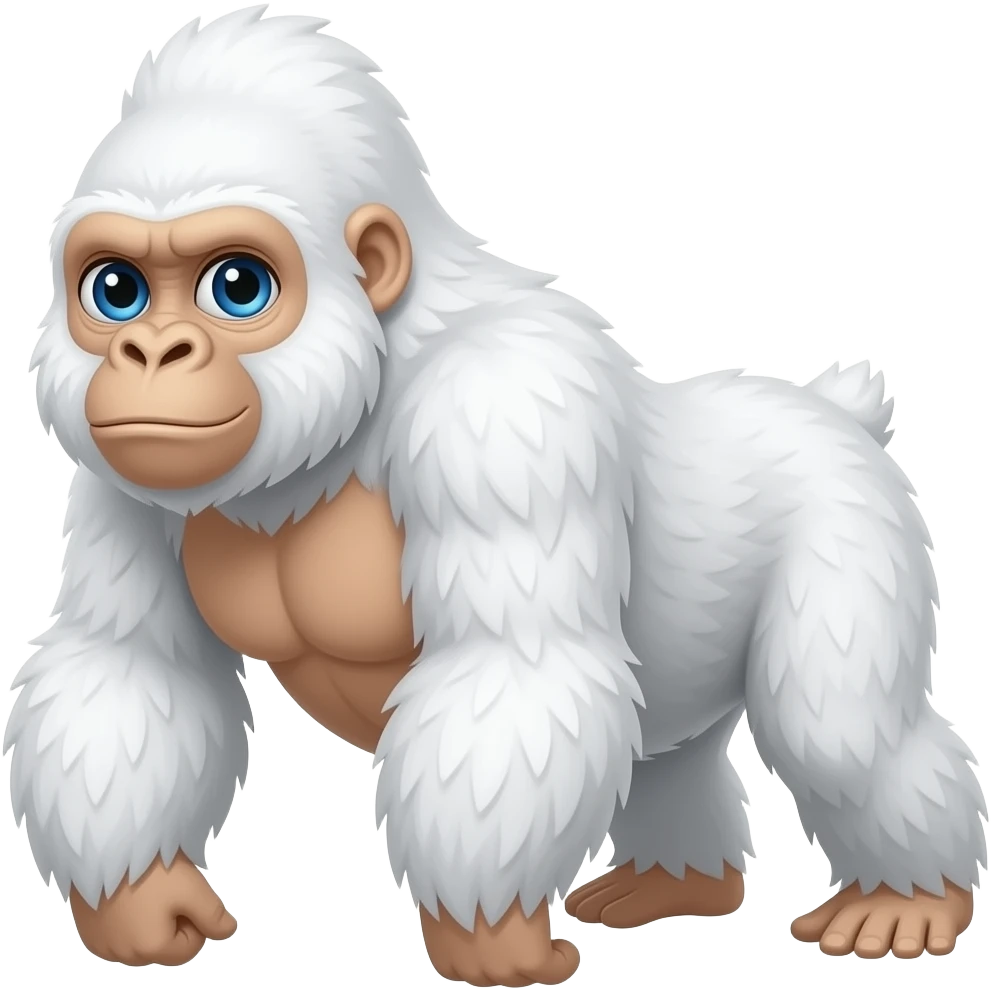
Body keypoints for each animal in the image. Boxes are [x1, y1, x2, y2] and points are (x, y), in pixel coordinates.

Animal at [6, 7, 986, 983]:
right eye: (117, 290)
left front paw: (485, 937)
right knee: (670, 744)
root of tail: (830, 409)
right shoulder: (121, 483)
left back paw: (910, 897)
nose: (149, 354)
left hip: (847, 516)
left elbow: (517, 670)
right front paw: (138, 900)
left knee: (841, 734)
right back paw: (675, 881)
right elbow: (132, 665)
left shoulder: (502, 411)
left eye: (236, 285)